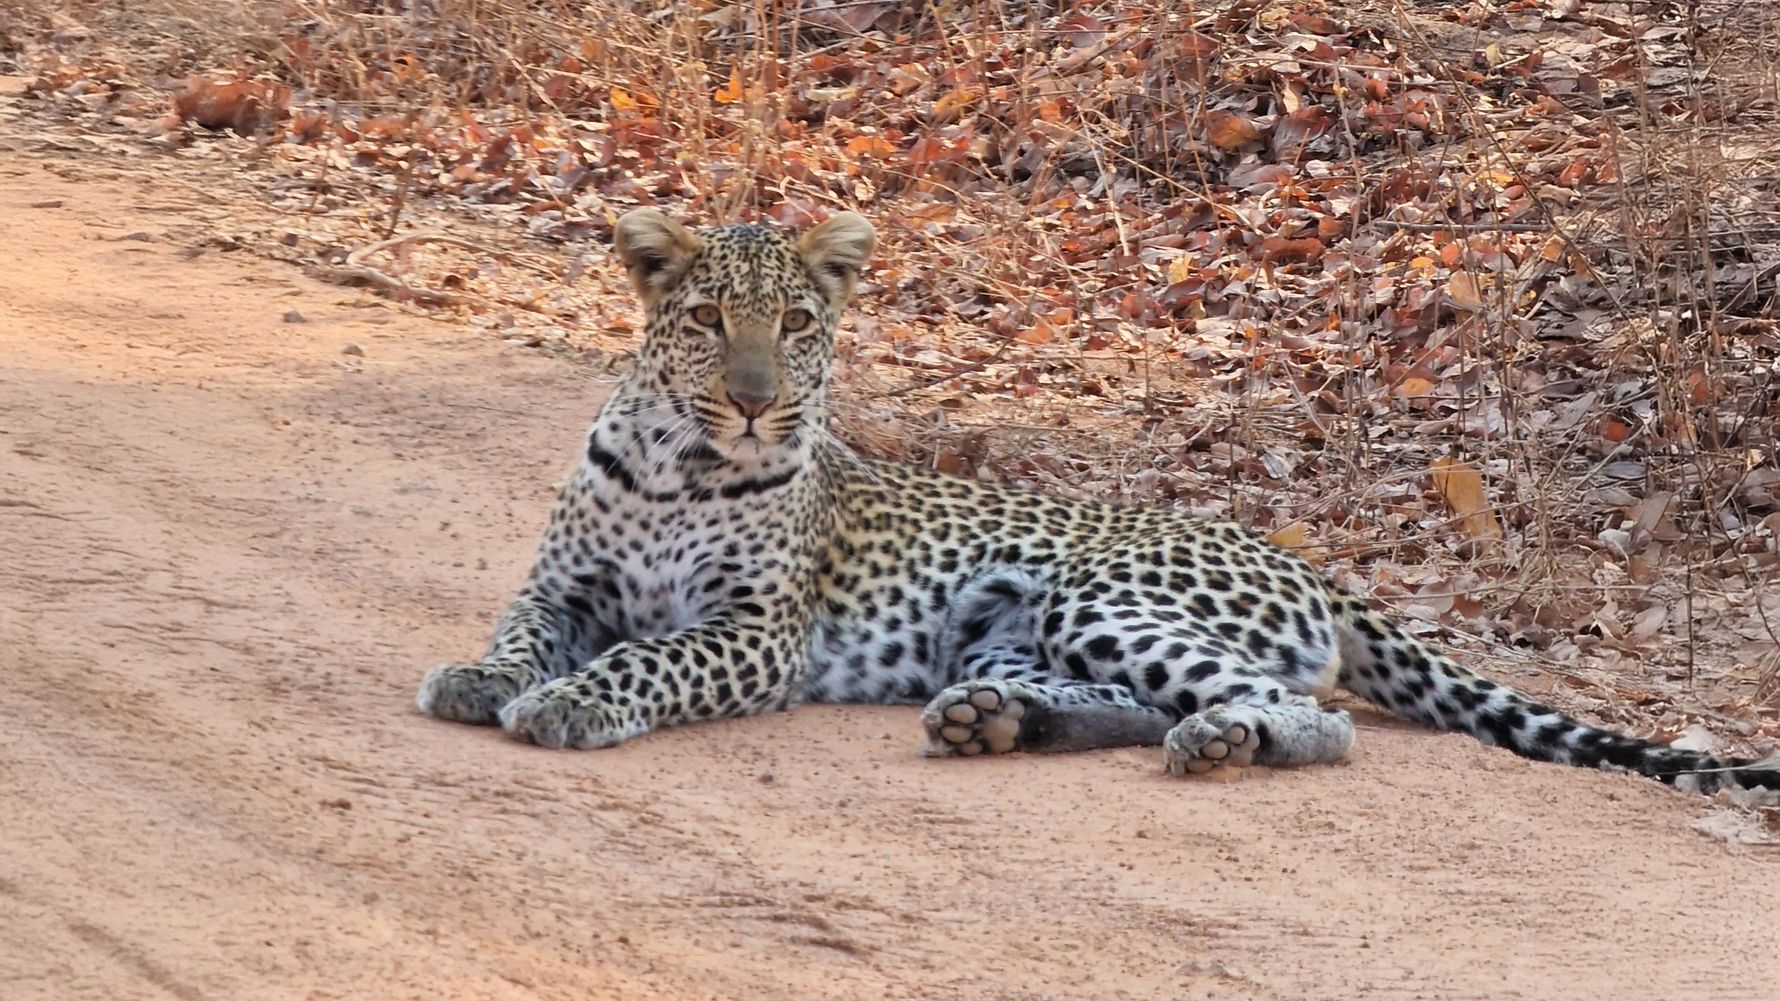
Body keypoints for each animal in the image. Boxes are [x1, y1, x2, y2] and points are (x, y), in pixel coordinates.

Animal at [417, 208, 1779, 799]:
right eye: (706, 321)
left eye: (796, 325)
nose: (754, 404)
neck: (674, 462)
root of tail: (1299, 556)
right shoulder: (566, 583)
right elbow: (524, 629)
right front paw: (483, 677)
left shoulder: (753, 630)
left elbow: (645, 661)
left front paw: (568, 704)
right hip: (1021, 627)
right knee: (1129, 701)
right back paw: (997, 722)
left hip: (1100, 595)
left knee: (1298, 710)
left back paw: (1218, 743)